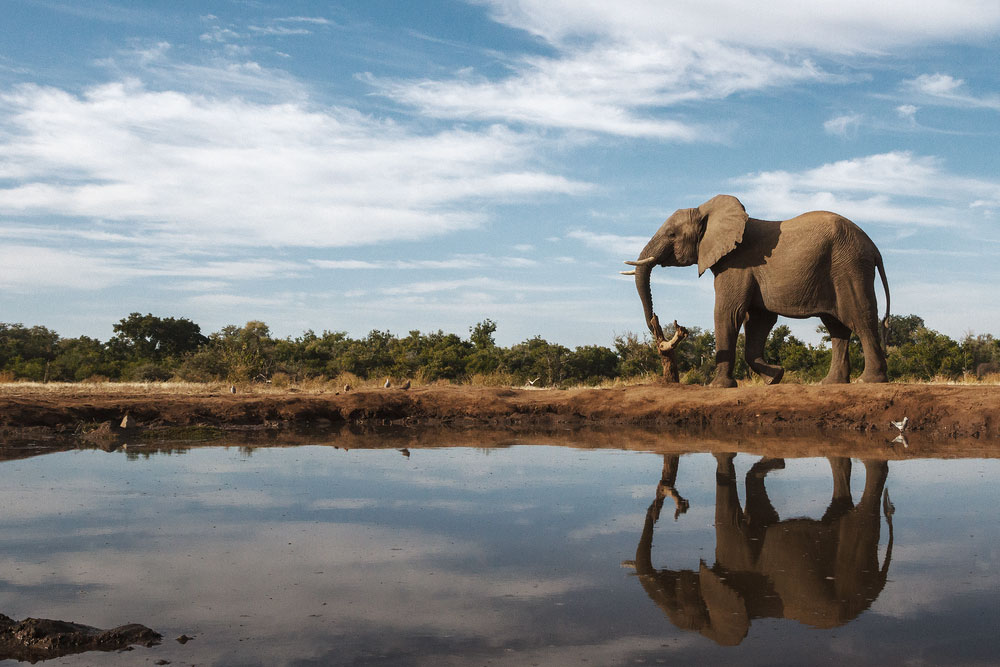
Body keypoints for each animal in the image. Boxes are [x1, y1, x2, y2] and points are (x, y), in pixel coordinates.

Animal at [624, 194, 892, 386]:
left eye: (671, 234)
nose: (656, 323)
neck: (706, 211)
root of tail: (873, 247)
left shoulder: (737, 264)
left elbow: (728, 313)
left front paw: (718, 386)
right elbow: (758, 320)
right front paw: (775, 378)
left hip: (849, 267)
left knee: (859, 317)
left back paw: (868, 381)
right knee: (837, 326)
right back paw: (830, 383)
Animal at [628, 454, 896, 648]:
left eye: (676, 602)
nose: (663, 505)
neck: (712, 629)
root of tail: (877, 586)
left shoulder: (736, 559)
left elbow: (729, 514)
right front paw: (778, 463)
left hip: (853, 565)